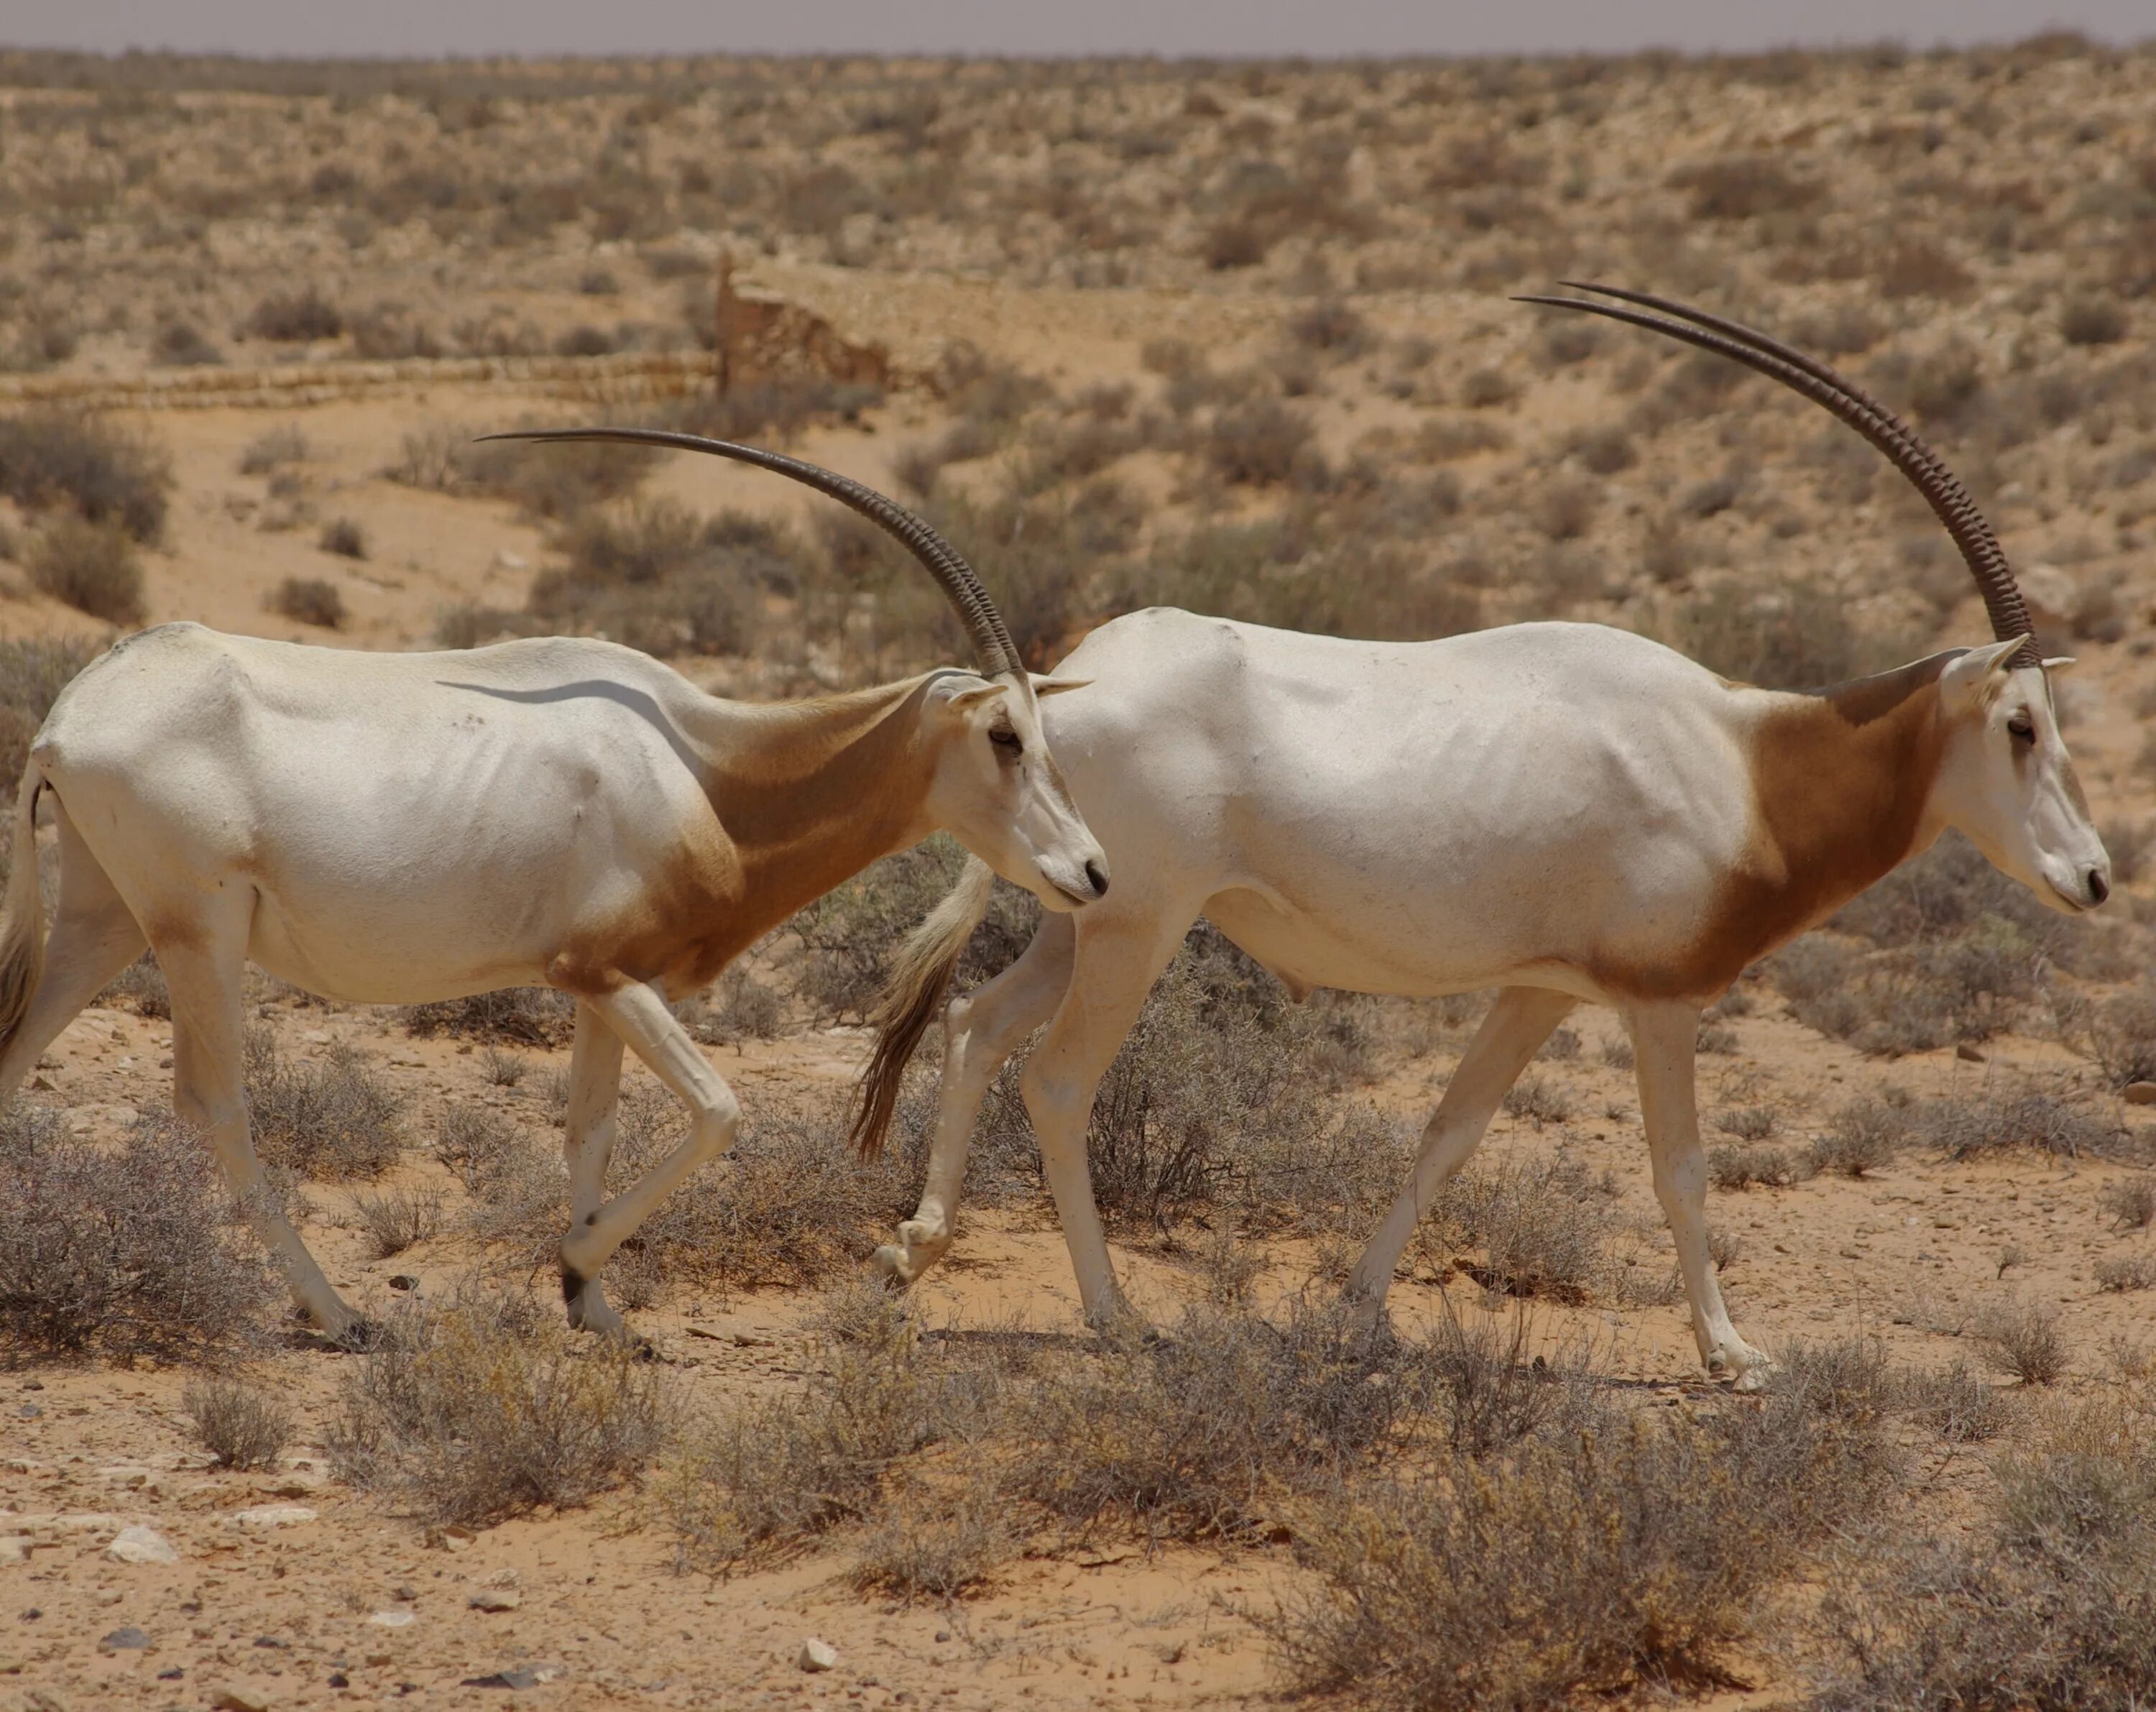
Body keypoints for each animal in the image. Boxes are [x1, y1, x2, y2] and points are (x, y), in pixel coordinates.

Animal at [0, 433, 1112, 1337]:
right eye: (1004, 734)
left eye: (1049, 731)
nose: (1095, 872)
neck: (708, 775)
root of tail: (67, 716)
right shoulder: (604, 973)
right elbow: (720, 1109)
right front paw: (573, 1266)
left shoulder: (601, 987)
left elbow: (594, 1129)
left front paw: (597, 1310)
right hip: (200, 932)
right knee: (214, 1102)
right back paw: (342, 1315)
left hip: (107, 921)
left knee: (18, 1054)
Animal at [854, 276, 2104, 1371]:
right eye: (2022, 723)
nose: (2093, 877)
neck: (1745, 760)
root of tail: (1051, 686)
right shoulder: (1660, 1002)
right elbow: (1681, 1169)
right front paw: (1735, 1357)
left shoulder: (1539, 989)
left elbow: (1448, 1133)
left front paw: (1359, 1313)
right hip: (1138, 929)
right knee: (1059, 1080)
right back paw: (1115, 1318)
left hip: (1080, 909)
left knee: (975, 1023)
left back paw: (916, 1249)